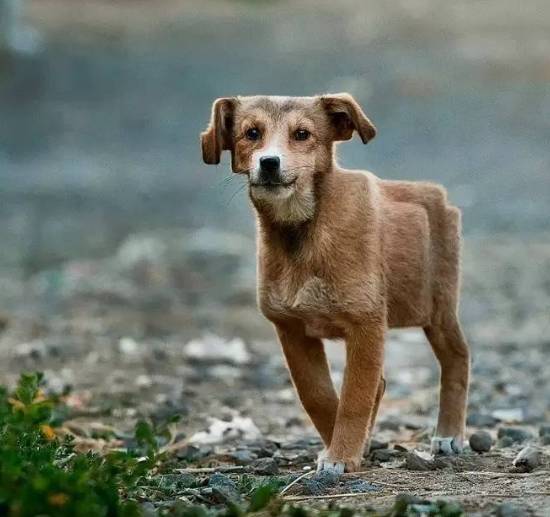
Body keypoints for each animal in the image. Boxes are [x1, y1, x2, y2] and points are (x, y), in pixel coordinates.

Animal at [201, 92, 472, 472]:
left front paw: (341, 455)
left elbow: (354, 397)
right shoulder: (291, 328)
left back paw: (449, 434)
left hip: (439, 308)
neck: (303, 231)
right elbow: (319, 395)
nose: (269, 163)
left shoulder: (366, 324)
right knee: (381, 383)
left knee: (457, 359)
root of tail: (436, 194)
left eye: (302, 134)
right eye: (251, 133)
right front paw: (344, 448)